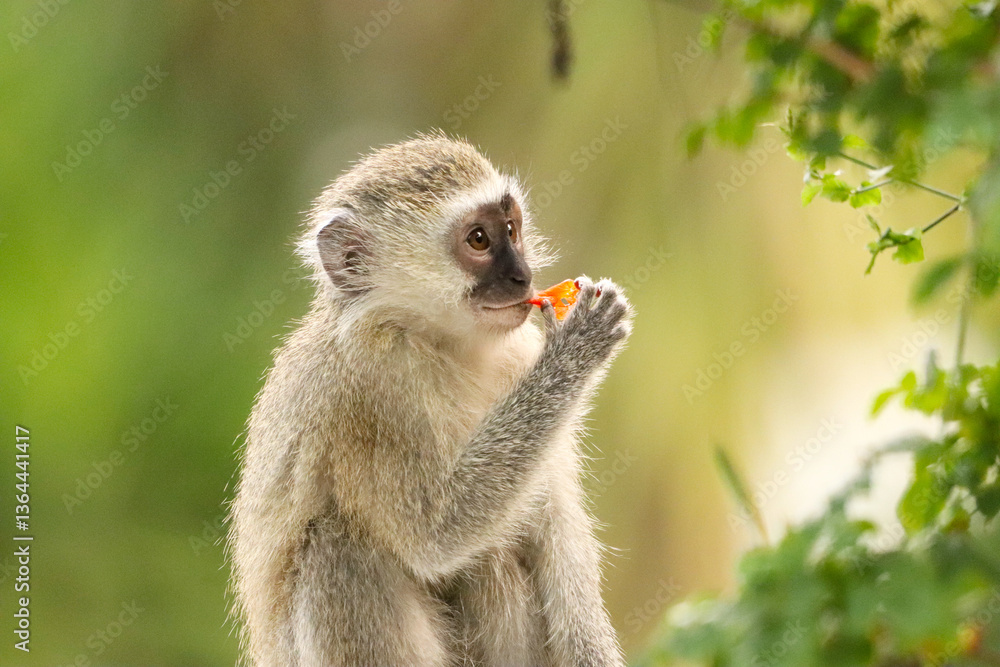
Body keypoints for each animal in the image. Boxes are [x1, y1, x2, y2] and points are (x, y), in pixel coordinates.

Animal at [228, 132, 633, 667]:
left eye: (511, 229)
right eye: (479, 240)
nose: (523, 277)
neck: (441, 343)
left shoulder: (518, 351)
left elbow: (555, 531)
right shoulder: (371, 389)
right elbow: (433, 534)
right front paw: (579, 342)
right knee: (337, 548)